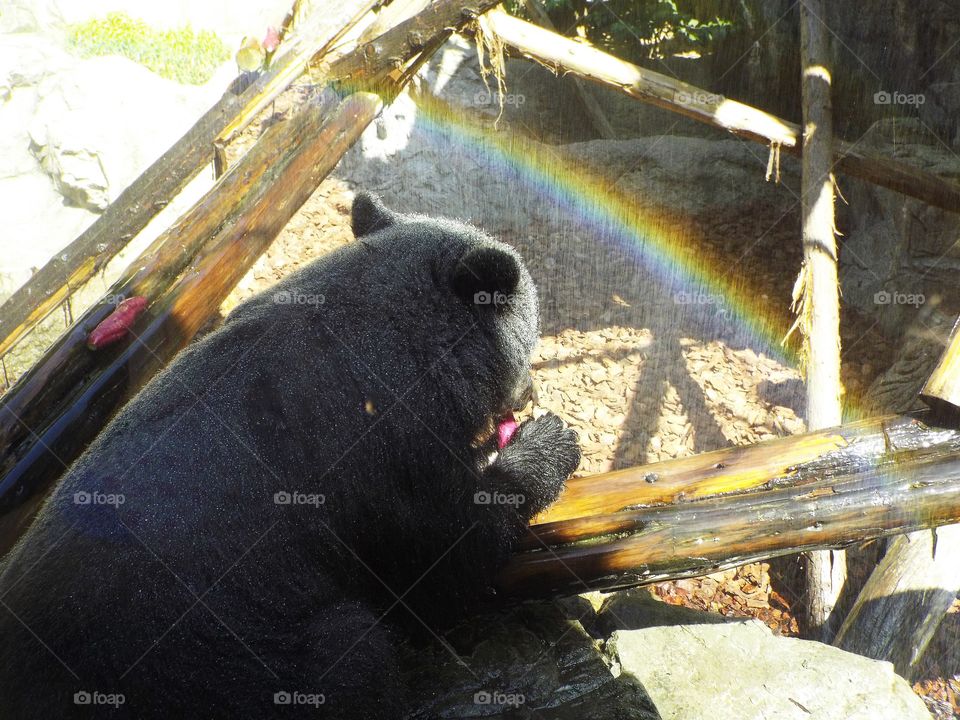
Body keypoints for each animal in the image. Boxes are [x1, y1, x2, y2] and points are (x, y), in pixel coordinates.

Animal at [0, 194, 576, 716]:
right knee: (352, 654)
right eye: (529, 346)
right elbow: (441, 561)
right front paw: (547, 445)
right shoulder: (382, 441)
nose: (529, 393)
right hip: (225, 663)